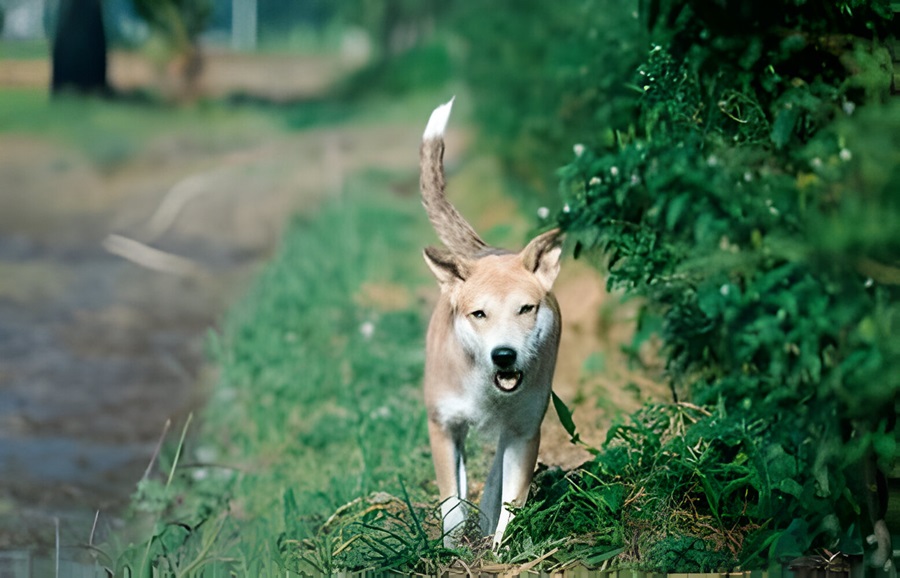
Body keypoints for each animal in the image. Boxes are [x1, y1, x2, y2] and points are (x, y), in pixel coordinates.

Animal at [416, 98, 560, 544]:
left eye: (526, 309)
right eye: (478, 313)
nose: (504, 355)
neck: (484, 384)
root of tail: (483, 251)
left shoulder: (526, 430)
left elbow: (512, 502)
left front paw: (499, 548)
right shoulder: (443, 425)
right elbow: (450, 502)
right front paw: (451, 548)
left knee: (497, 470)